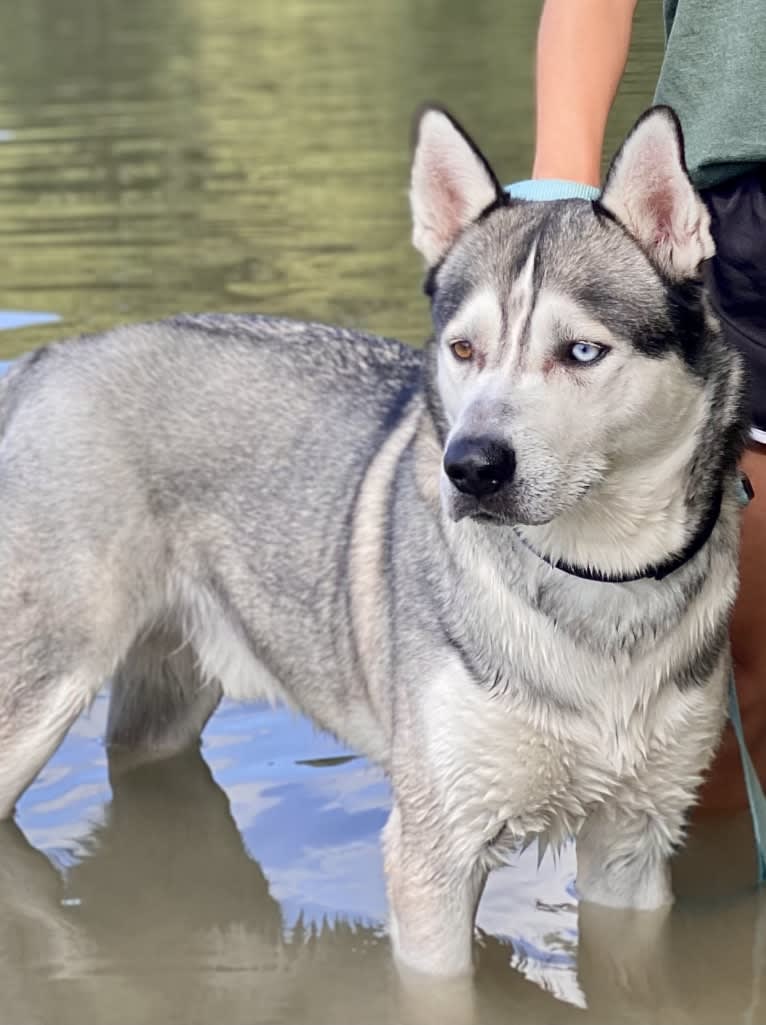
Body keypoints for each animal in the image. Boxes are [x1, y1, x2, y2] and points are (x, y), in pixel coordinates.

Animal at [0, 104, 750, 975]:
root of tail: (47, 360)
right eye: (464, 349)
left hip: (166, 705)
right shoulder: (433, 853)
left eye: (583, 351)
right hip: (38, 698)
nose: (470, 466)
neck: (597, 584)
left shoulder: (635, 840)